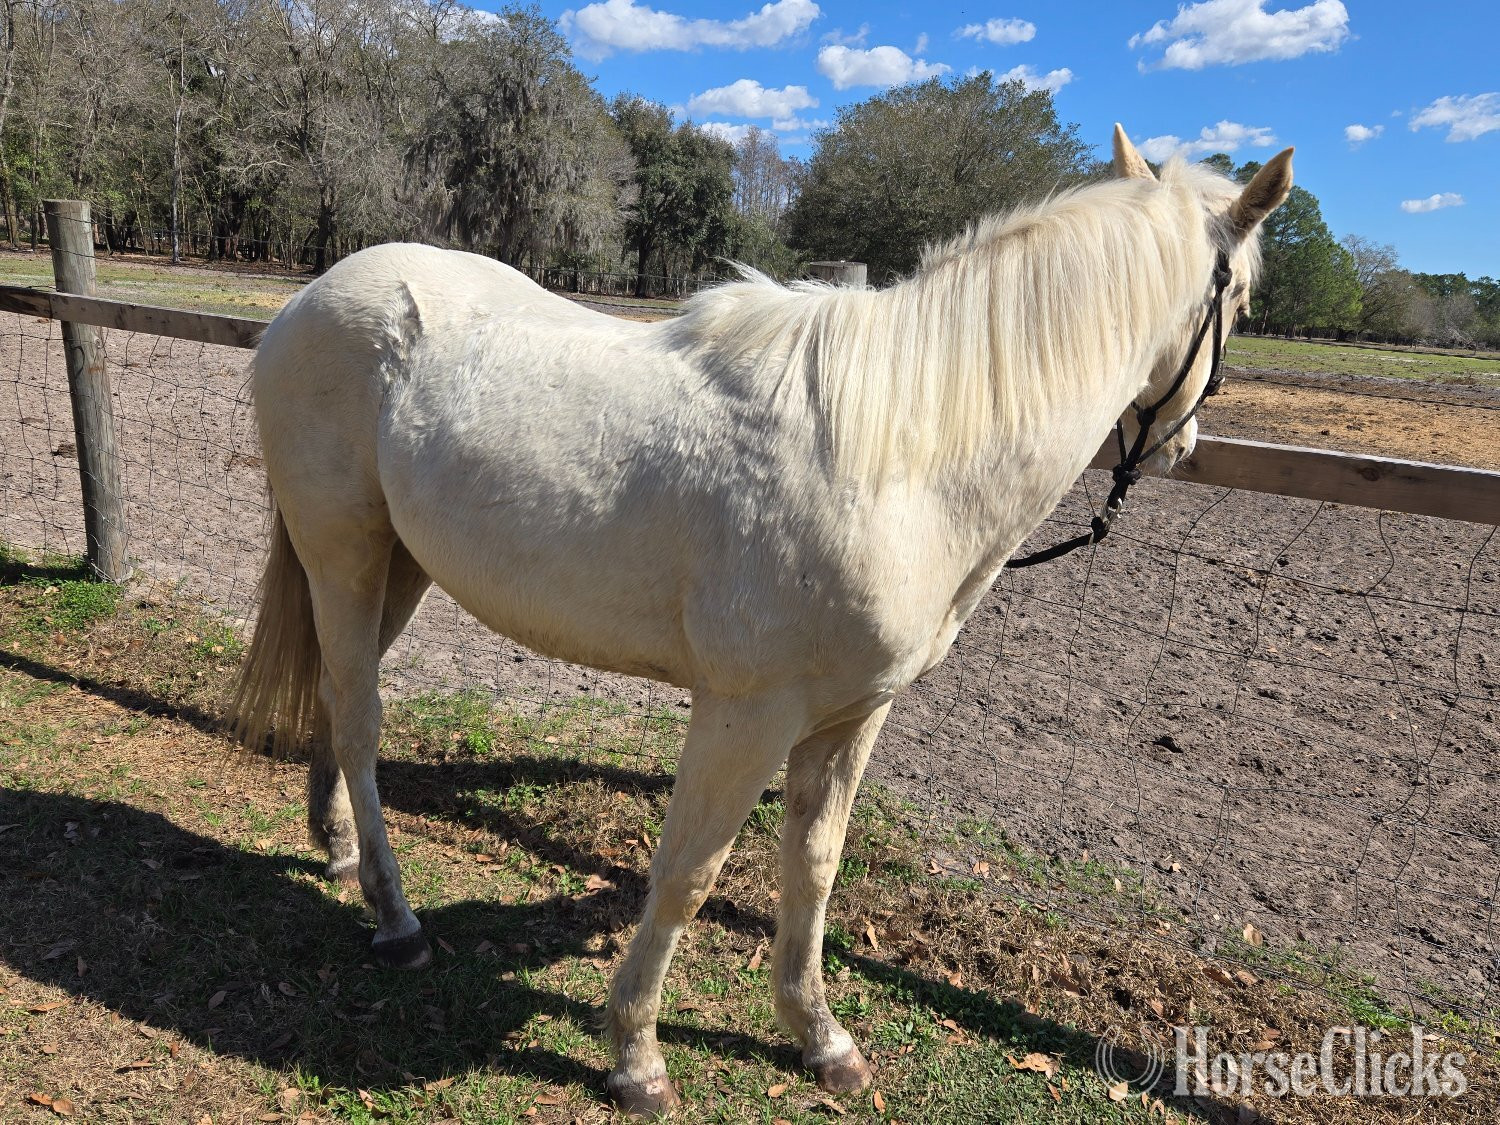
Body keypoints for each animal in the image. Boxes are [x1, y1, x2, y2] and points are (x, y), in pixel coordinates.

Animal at [229, 126, 1292, 1114]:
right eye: (1240, 301)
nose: (1184, 444)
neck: (898, 451)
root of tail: (308, 299)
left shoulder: (852, 714)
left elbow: (814, 865)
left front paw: (820, 1037)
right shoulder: (745, 714)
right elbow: (690, 873)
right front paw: (636, 1054)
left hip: (398, 567)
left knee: (336, 695)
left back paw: (338, 849)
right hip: (344, 555)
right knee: (360, 720)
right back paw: (396, 916)